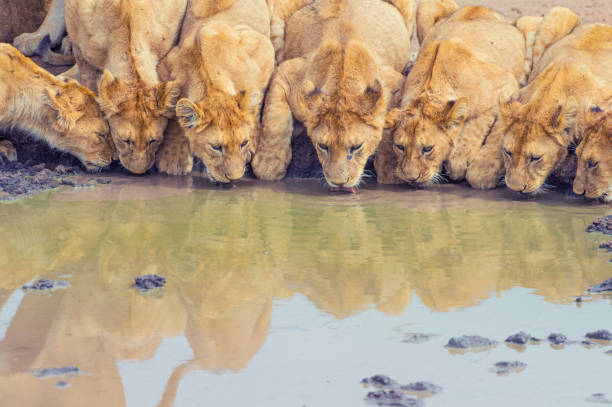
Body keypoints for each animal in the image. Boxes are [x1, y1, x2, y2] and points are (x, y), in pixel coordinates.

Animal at [155, 0, 274, 182]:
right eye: (216, 147)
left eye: (243, 143)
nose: (234, 178)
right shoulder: (165, 65)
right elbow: (174, 112)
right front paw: (173, 157)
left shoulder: (264, 50)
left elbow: (257, 99)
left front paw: (254, 138)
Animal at [251, 0, 414, 191]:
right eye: (323, 146)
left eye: (357, 147)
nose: (339, 183)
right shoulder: (288, 72)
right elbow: (274, 119)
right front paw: (268, 163)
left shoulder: (395, 83)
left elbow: (391, 126)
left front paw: (389, 170)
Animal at [384, 1, 524, 186]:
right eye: (400, 147)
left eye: (427, 149)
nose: (411, 178)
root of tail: (480, 6)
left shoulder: (507, 83)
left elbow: (478, 124)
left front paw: (460, 160)